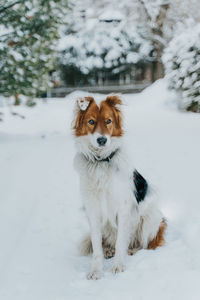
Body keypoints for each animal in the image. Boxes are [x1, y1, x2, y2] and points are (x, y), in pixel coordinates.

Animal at [72, 95, 166, 280]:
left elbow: (122, 240)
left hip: (151, 218)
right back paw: (109, 250)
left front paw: (118, 266)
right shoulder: (93, 210)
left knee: (144, 243)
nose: (102, 140)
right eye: (91, 121)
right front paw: (96, 270)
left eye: (108, 121)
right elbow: (96, 247)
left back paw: (132, 251)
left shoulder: (123, 209)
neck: (101, 162)